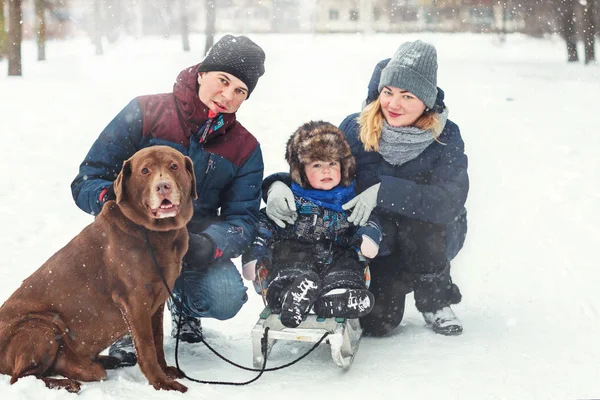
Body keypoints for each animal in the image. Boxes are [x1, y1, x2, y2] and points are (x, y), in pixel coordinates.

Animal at [0, 145, 198, 392]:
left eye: (174, 166)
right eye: (145, 171)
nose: (163, 186)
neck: (156, 233)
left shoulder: (157, 301)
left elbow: (158, 340)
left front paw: (166, 371)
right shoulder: (135, 301)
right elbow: (147, 347)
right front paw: (161, 383)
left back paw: (103, 362)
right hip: (42, 325)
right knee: (21, 377)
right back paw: (66, 383)